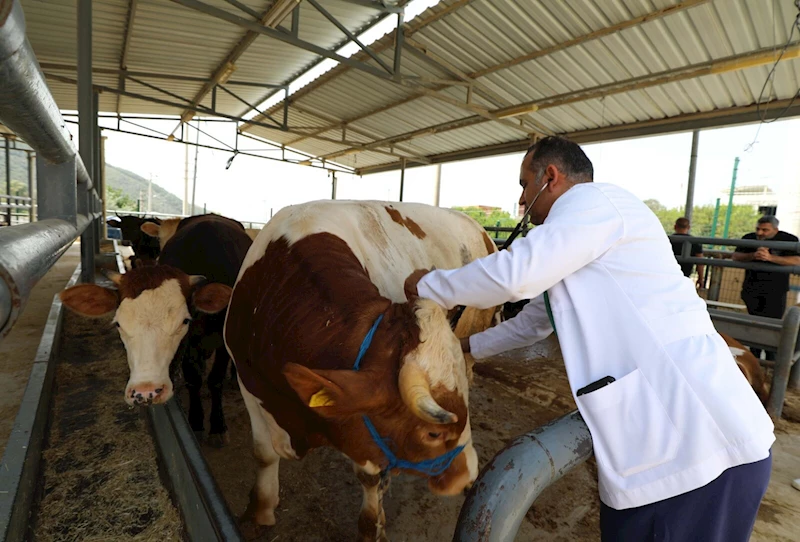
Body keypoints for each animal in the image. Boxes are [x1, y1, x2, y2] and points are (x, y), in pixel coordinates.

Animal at [222, 202, 500, 540]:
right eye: (433, 433)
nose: (469, 474)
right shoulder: (247, 382)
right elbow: (262, 454)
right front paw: (260, 510)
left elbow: (369, 476)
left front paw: (371, 526)